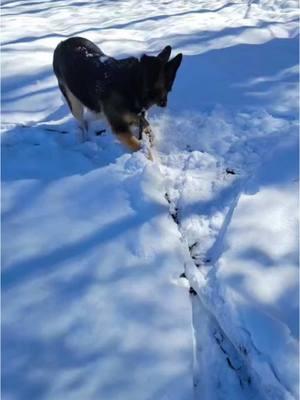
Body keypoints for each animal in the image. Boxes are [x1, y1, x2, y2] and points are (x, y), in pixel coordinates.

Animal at [52, 37, 182, 154]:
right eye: (169, 88)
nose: (165, 104)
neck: (133, 83)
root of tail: (62, 43)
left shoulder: (135, 115)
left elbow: (148, 127)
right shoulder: (120, 128)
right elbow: (138, 145)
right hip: (74, 104)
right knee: (82, 123)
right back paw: (85, 137)